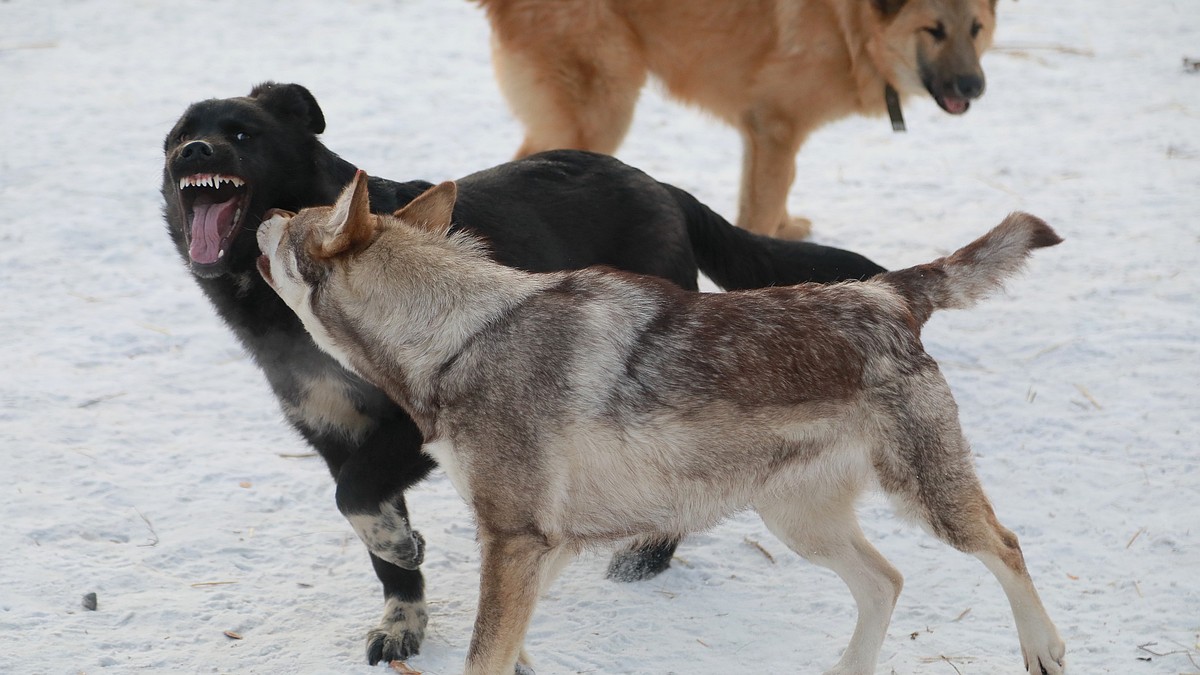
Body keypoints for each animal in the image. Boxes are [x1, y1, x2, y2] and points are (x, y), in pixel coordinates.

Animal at [162, 79, 883, 662]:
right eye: (176, 136)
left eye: (241, 133)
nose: (193, 152)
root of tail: (655, 183)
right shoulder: (334, 434)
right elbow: (369, 526)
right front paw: (401, 612)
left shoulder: (409, 431)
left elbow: (357, 496)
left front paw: (403, 546)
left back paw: (650, 551)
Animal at [258, 171, 1065, 672]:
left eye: (295, 222)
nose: (264, 214)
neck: (461, 335)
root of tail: (886, 293)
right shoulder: (542, 545)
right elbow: (508, 649)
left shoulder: (516, 539)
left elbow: (486, 652)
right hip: (799, 523)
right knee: (887, 582)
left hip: (926, 500)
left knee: (1008, 547)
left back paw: (1044, 650)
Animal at [475, 0, 993, 239]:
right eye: (933, 30)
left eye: (975, 29)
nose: (973, 86)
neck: (849, 23)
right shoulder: (777, 126)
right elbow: (763, 204)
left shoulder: (763, 133)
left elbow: (773, 192)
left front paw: (786, 229)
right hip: (602, 112)